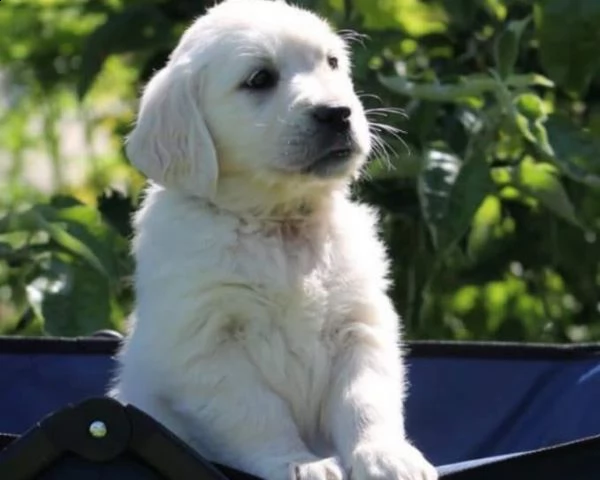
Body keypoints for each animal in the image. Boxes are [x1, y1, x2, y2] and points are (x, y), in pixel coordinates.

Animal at [112, 0, 438, 480]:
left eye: (332, 62)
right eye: (259, 79)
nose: (337, 112)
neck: (280, 223)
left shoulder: (360, 325)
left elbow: (365, 398)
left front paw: (386, 456)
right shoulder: (207, 346)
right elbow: (258, 414)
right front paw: (299, 464)